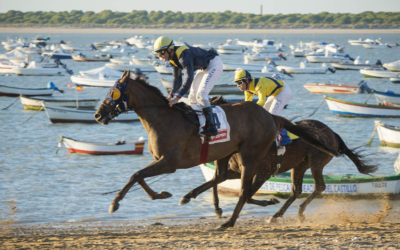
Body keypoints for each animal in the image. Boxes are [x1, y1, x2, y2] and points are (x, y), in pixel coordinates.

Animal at [95, 72, 340, 229]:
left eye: (113, 92)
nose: (98, 115)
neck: (163, 119)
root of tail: (271, 117)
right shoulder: (163, 161)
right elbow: (139, 176)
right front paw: (161, 194)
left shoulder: (170, 163)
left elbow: (136, 175)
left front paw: (114, 203)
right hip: (233, 156)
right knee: (227, 180)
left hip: (252, 157)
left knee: (244, 190)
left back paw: (230, 221)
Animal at [180, 117, 376, 223]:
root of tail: (332, 132)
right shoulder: (237, 171)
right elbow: (213, 181)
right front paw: (188, 196)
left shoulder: (263, 172)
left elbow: (247, 194)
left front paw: (270, 201)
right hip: (299, 165)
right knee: (296, 190)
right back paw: (279, 215)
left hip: (316, 163)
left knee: (319, 187)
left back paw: (294, 211)